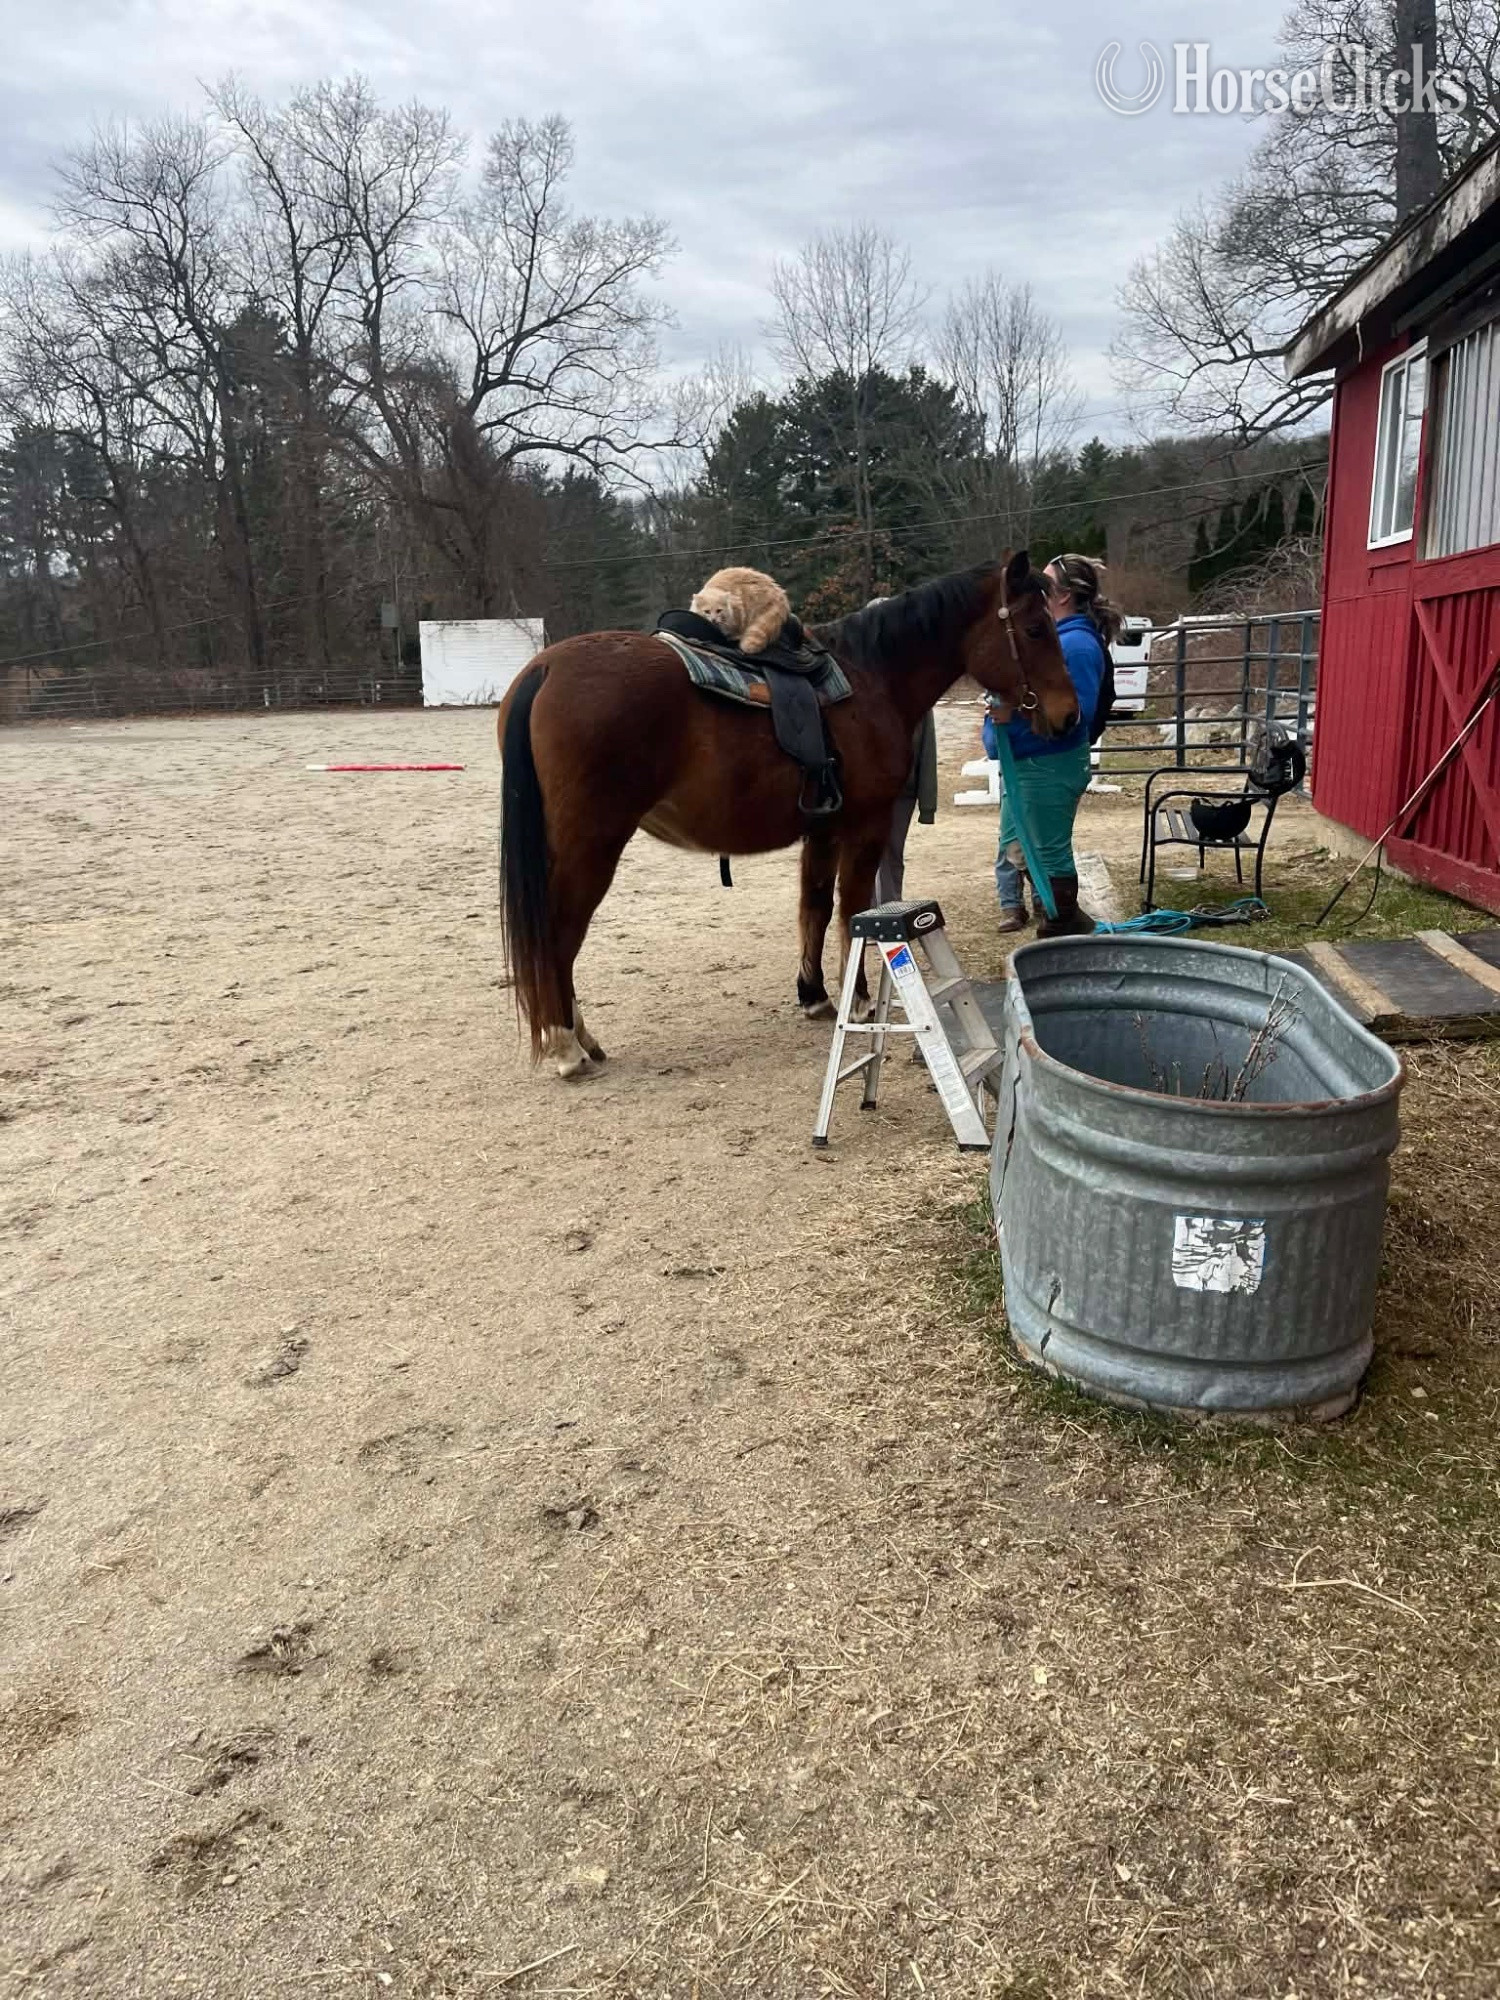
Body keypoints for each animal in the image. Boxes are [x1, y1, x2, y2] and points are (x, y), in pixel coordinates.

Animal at [498, 549, 1080, 1076]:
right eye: (1034, 629)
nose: (1069, 716)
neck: (871, 677)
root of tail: (546, 667)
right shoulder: (864, 826)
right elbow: (852, 910)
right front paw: (859, 1001)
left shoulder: (821, 830)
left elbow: (814, 907)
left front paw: (815, 995)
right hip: (592, 844)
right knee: (560, 932)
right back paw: (567, 1044)